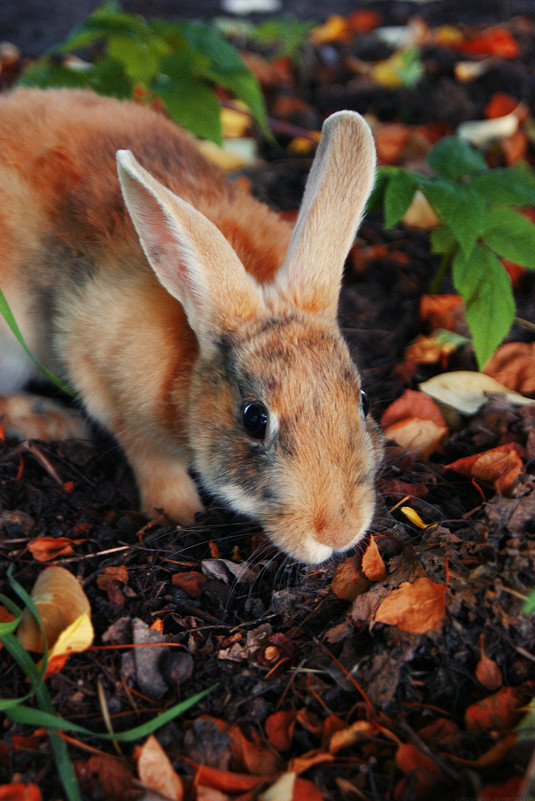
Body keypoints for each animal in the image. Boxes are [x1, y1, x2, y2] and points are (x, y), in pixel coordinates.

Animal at [1, 86, 386, 564]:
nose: (338, 532)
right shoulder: (106, 384)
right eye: (254, 418)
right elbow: (152, 460)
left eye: (363, 401)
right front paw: (179, 513)